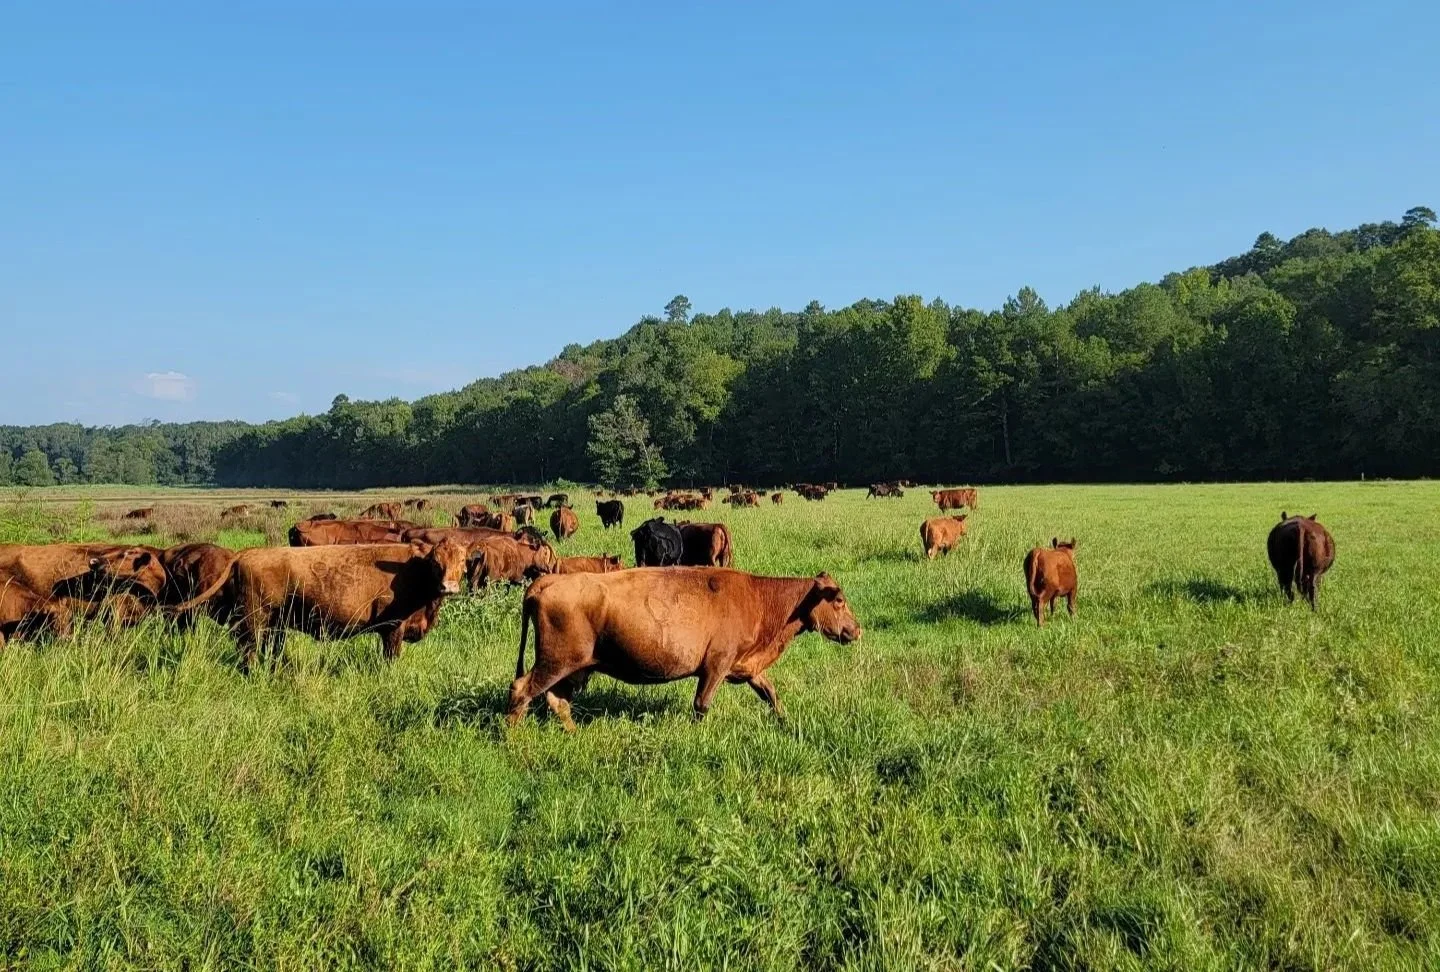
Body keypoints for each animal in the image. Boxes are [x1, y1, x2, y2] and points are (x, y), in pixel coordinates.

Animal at [215, 538, 469, 669]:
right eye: (435, 562)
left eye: (462, 560)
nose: (449, 586)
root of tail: (246, 554)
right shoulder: (393, 628)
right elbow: (391, 658)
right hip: (253, 621)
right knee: (248, 649)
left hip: (274, 624)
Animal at [508, 568, 862, 728]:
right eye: (839, 600)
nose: (856, 629)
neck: (757, 598)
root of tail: (548, 581)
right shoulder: (716, 665)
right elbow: (701, 704)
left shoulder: (745, 665)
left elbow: (770, 692)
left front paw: (784, 721)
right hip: (555, 662)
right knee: (521, 690)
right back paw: (512, 738)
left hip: (572, 668)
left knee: (557, 701)